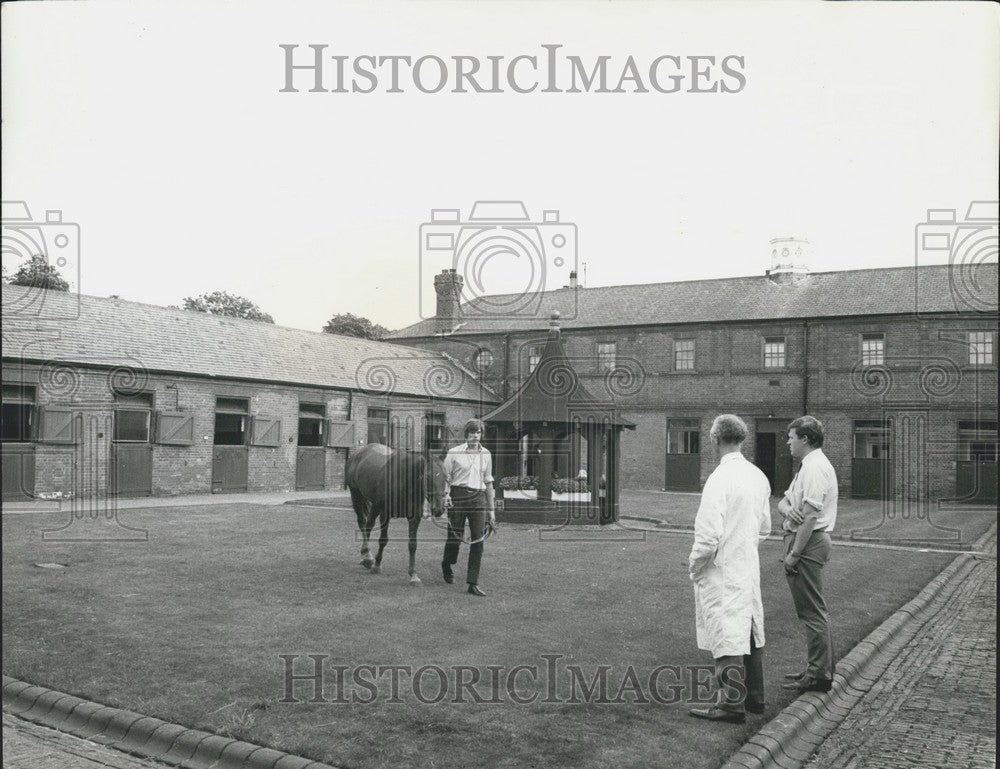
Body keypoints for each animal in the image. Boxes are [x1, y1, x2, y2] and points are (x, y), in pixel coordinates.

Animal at [348, 444, 450, 584]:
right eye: (427, 476)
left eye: (446, 477)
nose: (438, 509)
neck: (404, 483)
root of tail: (359, 452)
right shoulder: (383, 512)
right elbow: (382, 539)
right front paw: (375, 564)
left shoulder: (414, 518)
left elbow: (412, 544)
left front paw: (413, 574)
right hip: (358, 497)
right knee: (365, 524)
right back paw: (367, 556)